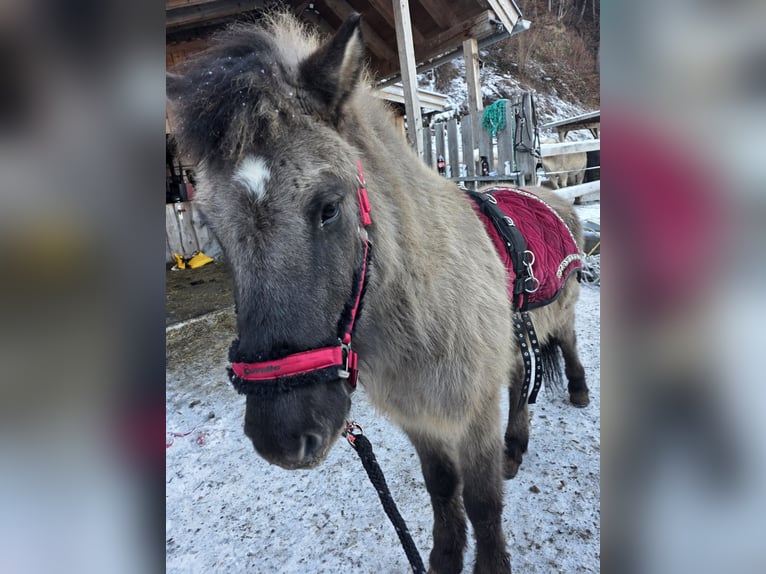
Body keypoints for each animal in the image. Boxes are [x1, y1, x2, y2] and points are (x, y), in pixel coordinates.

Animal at [167, 12, 589, 573]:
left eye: (329, 207)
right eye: (214, 228)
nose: (282, 438)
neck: (427, 312)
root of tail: (549, 195)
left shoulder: (473, 414)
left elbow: (482, 501)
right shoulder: (418, 420)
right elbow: (441, 487)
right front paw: (443, 557)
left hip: (559, 315)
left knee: (562, 347)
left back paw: (573, 395)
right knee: (523, 375)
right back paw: (516, 446)